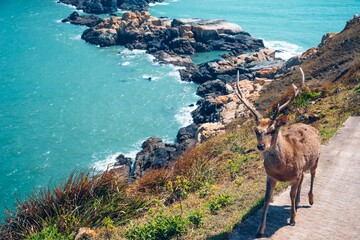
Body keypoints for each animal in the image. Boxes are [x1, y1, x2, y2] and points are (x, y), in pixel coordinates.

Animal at [233, 68, 320, 238]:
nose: (261, 146)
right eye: (256, 130)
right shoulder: (270, 176)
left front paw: (293, 219)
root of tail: (311, 127)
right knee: (303, 177)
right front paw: (260, 230)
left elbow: (290, 194)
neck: (282, 170)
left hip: (317, 158)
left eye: (272, 130)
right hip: (303, 167)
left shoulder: (294, 174)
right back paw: (298, 202)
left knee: (312, 174)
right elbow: (267, 199)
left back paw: (310, 200)